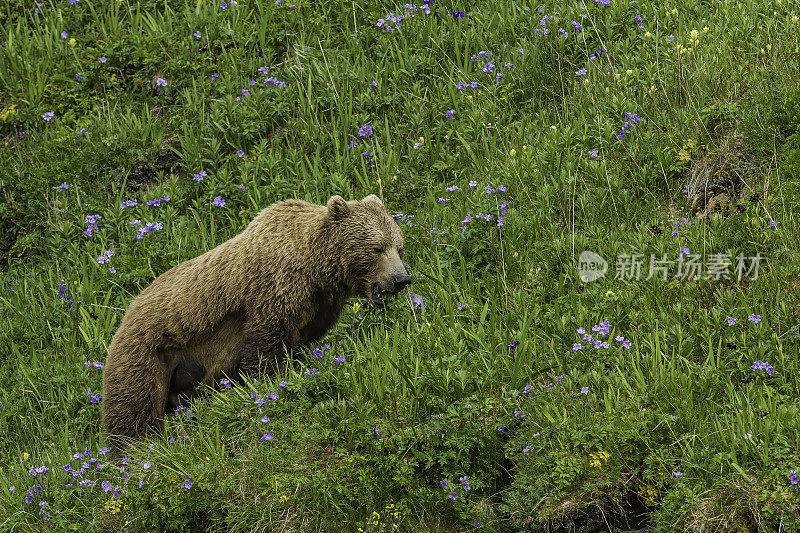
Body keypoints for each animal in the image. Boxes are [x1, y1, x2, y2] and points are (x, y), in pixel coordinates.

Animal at [101, 193, 412, 450]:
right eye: (377, 248)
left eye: (399, 246)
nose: (401, 279)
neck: (316, 271)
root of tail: (127, 311)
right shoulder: (274, 290)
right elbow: (266, 346)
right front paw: (272, 383)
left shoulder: (319, 307)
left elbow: (301, 342)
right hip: (148, 351)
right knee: (133, 407)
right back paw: (130, 452)